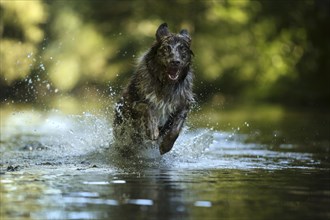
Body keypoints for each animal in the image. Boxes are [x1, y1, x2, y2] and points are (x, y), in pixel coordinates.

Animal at [113, 23, 195, 155]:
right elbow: (147, 107)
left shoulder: (183, 105)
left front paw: (166, 146)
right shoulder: (132, 104)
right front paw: (152, 129)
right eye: (166, 48)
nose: (175, 62)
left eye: (182, 48)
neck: (166, 84)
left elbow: (175, 129)